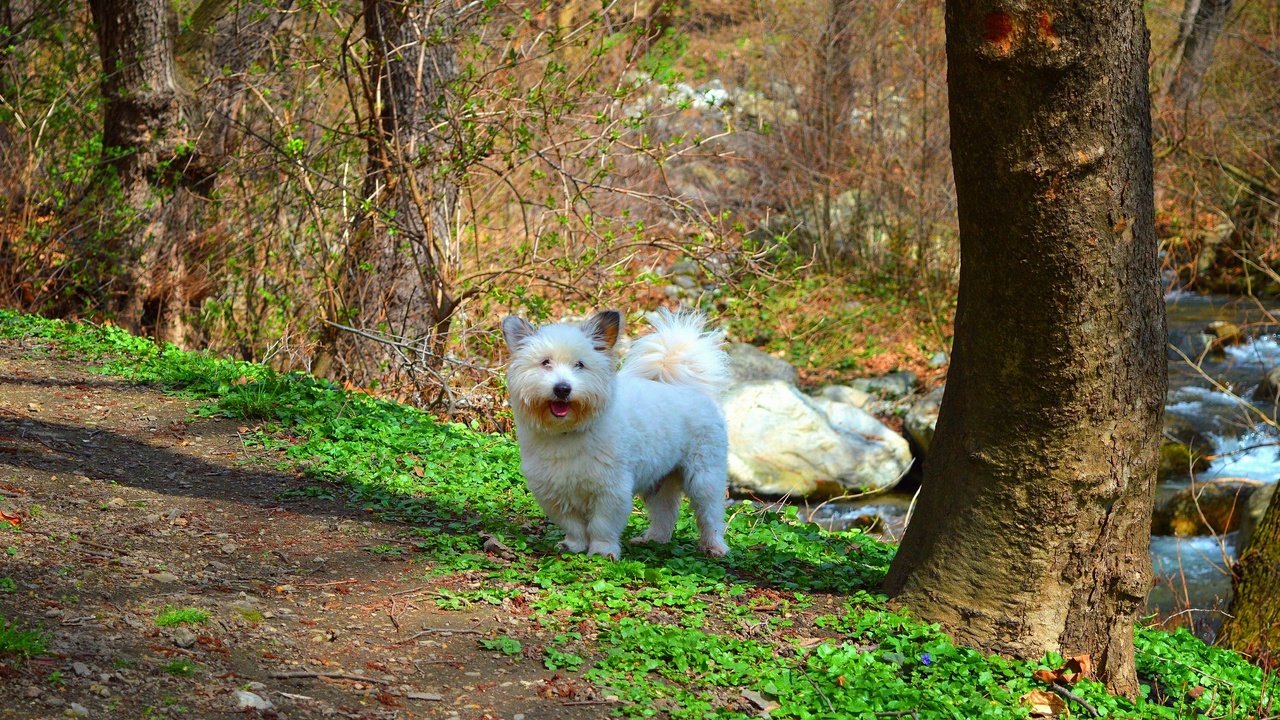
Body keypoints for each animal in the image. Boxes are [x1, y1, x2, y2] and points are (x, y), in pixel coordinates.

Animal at [504, 304, 737, 558]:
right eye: (545, 363)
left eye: (580, 364)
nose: (563, 388)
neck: (568, 432)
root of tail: (691, 389)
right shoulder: (554, 491)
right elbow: (572, 524)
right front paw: (574, 545)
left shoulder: (611, 489)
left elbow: (602, 524)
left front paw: (602, 550)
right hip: (660, 479)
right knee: (665, 512)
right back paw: (654, 539)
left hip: (704, 476)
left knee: (710, 514)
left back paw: (714, 546)